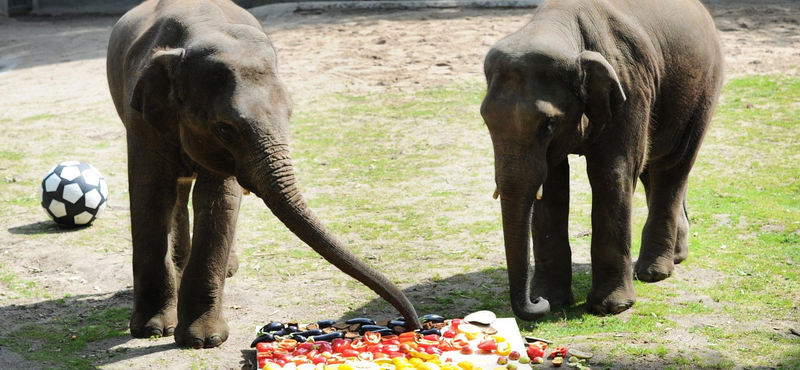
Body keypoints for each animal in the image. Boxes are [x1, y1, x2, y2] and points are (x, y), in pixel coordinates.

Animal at [108, 0, 422, 346]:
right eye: (225, 128)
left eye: (290, 114)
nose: (412, 324)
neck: (198, 30)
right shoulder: (140, 119)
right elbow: (150, 192)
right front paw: (152, 330)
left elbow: (218, 200)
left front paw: (202, 340)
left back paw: (225, 269)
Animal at [482, 0, 724, 320]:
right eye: (485, 121)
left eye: (548, 125)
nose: (536, 302)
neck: (558, 28)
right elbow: (552, 185)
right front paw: (554, 300)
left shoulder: (628, 86)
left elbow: (612, 172)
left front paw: (611, 308)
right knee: (653, 169)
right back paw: (675, 256)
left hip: (703, 91)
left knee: (672, 167)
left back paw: (654, 273)